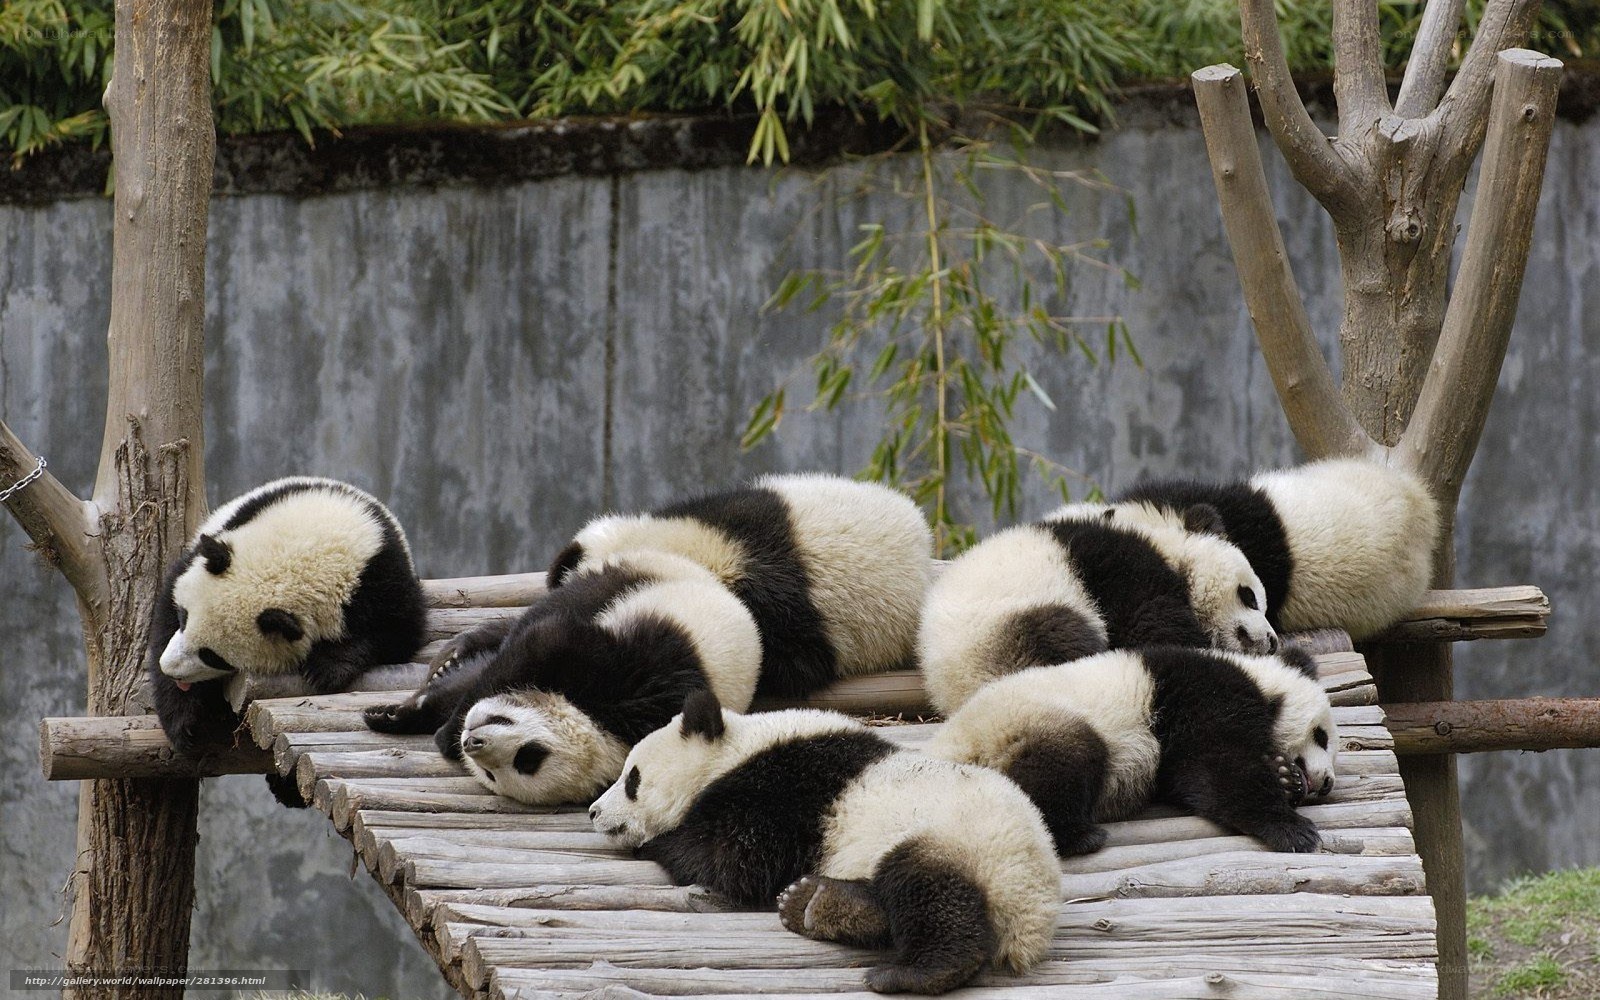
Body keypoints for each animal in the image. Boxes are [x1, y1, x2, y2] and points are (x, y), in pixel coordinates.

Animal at [148, 476, 426, 756]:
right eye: (184, 618)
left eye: (213, 656)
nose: (169, 668)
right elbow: (165, 613)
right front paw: (185, 722)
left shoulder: (380, 575)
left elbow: (398, 634)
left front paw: (325, 668)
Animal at [364, 549, 762, 805]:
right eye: (531, 754)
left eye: (521, 763)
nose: (472, 743)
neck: (605, 725)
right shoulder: (633, 674)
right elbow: (541, 642)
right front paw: (426, 719)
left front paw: (433, 726)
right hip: (634, 581)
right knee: (548, 611)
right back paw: (458, 653)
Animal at [589, 690, 1061, 995]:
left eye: (632, 779)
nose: (593, 812)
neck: (734, 750)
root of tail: (1034, 908)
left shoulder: (783, 792)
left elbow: (735, 859)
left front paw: (659, 842)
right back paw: (817, 904)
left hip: (959, 840)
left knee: (929, 889)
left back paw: (911, 973)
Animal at [919, 502, 1277, 713]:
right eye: (1249, 597)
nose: (1272, 641)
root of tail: (949, 690)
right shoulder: (1121, 567)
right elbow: (1152, 623)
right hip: (1004, 627)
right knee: (1063, 636)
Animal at [929, 644, 1336, 856]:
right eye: (1321, 736)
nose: (1327, 782)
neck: (1260, 681)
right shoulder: (1202, 695)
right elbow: (1217, 767)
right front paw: (1293, 829)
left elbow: (1189, 779)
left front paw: (1284, 777)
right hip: (1021, 725)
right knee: (1064, 763)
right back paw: (1079, 836)